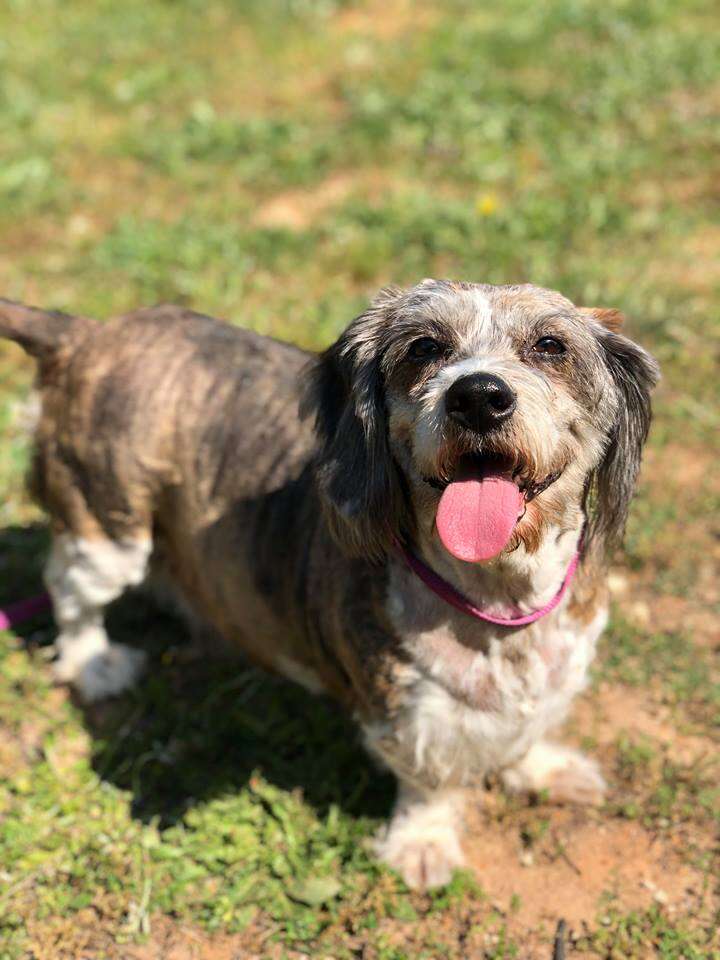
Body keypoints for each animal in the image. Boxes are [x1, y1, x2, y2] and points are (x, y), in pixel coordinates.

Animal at [0, 284, 660, 892]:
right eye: (425, 347)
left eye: (551, 345)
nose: (477, 394)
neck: (499, 597)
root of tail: (87, 331)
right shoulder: (403, 707)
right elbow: (429, 782)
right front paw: (422, 846)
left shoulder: (560, 664)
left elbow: (531, 727)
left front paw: (544, 768)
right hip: (105, 523)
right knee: (69, 591)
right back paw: (94, 664)